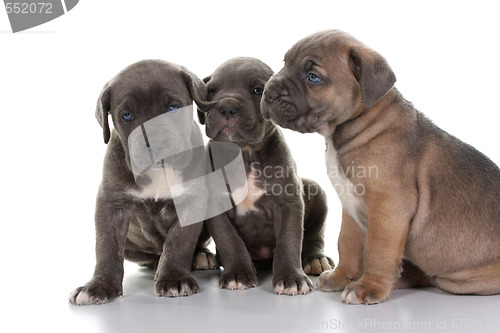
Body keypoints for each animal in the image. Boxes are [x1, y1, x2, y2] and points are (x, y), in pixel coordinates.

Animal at [67, 59, 214, 304]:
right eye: (126, 115)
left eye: (173, 107)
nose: (154, 142)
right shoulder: (111, 204)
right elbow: (107, 247)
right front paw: (99, 286)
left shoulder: (191, 200)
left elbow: (179, 242)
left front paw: (174, 278)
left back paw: (201, 257)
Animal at [197, 57, 334, 296]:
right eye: (211, 91)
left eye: (257, 90)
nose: (226, 107)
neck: (244, 154)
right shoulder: (217, 206)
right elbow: (229, 240)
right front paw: (238, 274)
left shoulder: (289, 204)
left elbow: (289, 240)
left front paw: (291, 278)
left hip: (316, 191)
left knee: (314, 236)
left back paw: (316, 259)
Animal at [260, 31, 500, 304]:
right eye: (285, 63)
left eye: (313, 77)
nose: (267, 92)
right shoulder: (350, 206)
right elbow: (347, 244)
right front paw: (341, 278)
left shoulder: (389, 209)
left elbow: (377, 251)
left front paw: (368, 287)